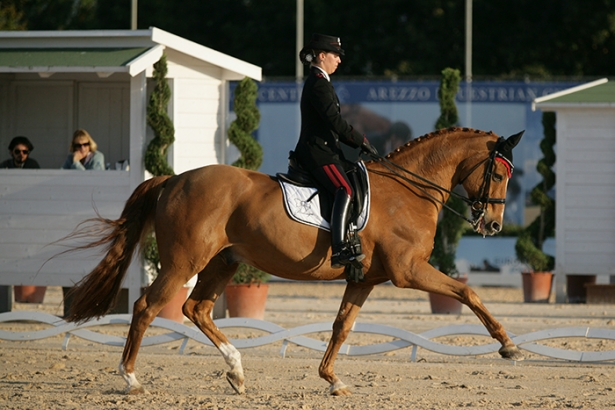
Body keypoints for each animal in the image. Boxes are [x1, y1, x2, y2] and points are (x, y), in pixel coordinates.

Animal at [63, 126, 524, 396]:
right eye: (500, 174)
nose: (494, 224)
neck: (407, 191)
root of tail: (175, 178)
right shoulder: (408, 272)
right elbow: (466, 292)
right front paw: (509, 346)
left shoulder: (364, 280)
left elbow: (341, 326)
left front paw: (332, 379)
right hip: (184, 262)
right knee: (147, 307)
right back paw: (131, 378)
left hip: (223, 261)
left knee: (196, 308)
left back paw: (236, 372)